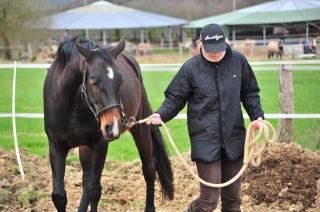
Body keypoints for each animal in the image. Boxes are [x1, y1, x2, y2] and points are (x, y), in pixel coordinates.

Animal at [42, 37, 174, 211]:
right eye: (93, 81)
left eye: (121, 80)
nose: (113, 125)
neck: (73, 106)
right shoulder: (56, 146)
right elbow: (59, 196)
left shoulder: (100, 144)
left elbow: (94, 191)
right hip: (84, 147)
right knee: (86, 181)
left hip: (140, 129)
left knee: (149, 169)